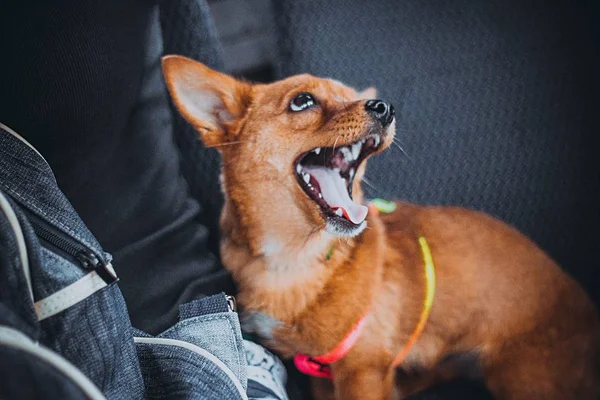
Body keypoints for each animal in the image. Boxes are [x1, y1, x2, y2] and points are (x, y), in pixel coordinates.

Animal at [162, 55, 596, 400]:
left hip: (523, 378)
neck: (294, 262)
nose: (384, 106)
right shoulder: (324, 374)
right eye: (302, 101)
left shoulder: (361, 370)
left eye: (352, 94)